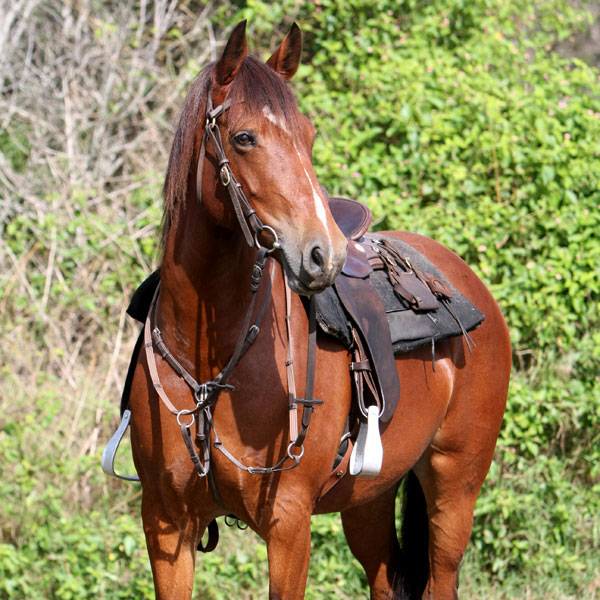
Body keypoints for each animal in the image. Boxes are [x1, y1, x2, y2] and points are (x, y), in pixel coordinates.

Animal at [126, 21, 510, 600]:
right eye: (244, 138)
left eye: (308, 136)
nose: (323, 254)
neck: (209, 361)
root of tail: (468, 282)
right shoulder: (167, 525)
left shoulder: (288, 525)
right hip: (370, 498)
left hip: (455, 487)